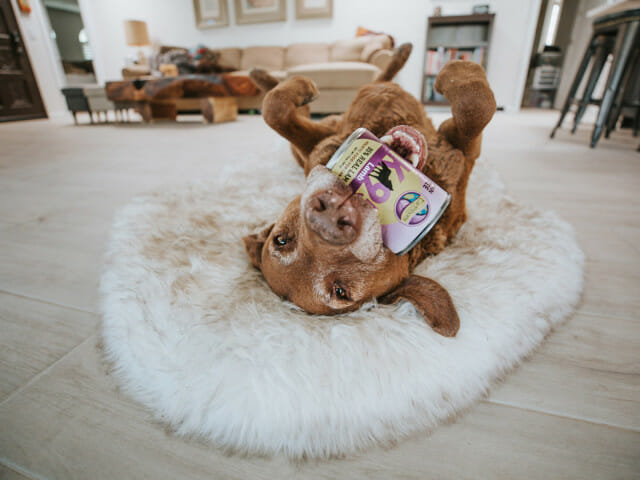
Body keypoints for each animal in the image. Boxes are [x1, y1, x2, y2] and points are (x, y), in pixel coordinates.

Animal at [242, 46, 498, 338]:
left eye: (281, 240)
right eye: (340, 291)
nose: (328, 216)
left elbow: (274, 109)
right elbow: (476, 107)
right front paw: (455, 72)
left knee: (375, 79)